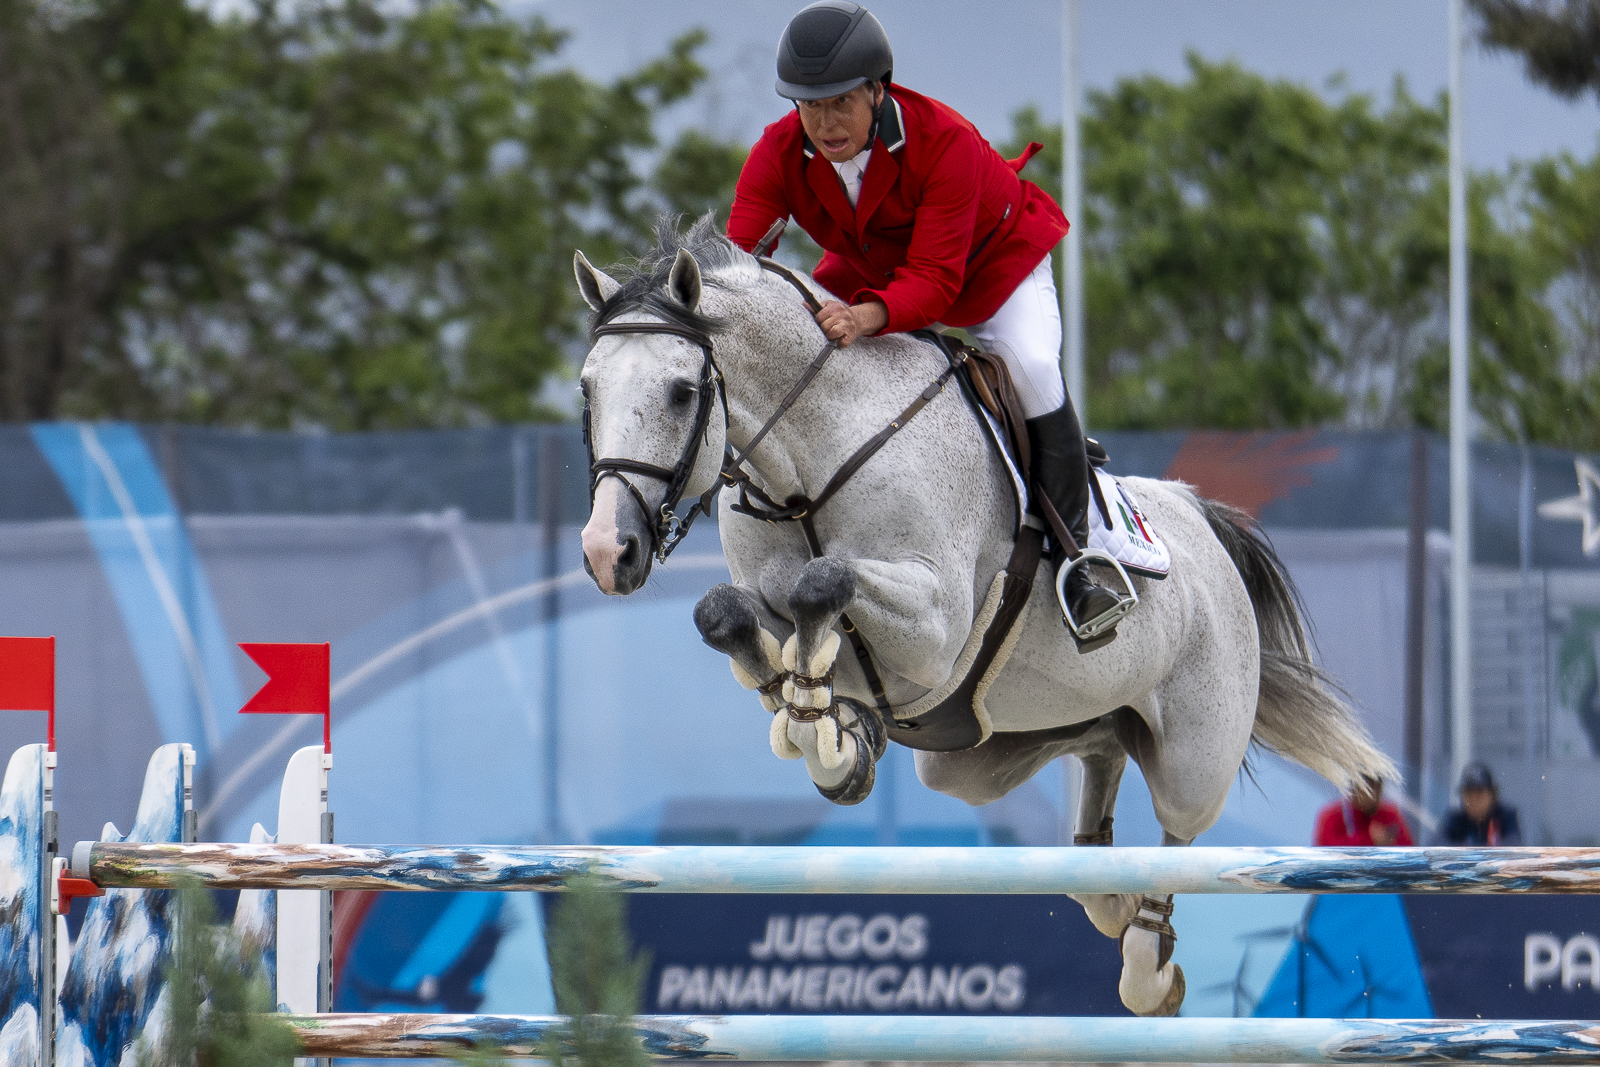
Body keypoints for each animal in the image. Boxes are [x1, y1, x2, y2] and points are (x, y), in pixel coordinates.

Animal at [576, 219, 1388, 1017]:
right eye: (587, 391)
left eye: (683, 391)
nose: (608, 551)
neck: (807, 466)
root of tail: (1201, 518)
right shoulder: (777, 603)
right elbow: (728, 614)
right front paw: (827, 727)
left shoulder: (933, 628)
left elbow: (821, 582)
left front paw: (823, 726)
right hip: (983, 753)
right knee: (1100, 758)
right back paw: (1110, 895)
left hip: (1195, 752)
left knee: (1175, 839)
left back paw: (1150, 965)